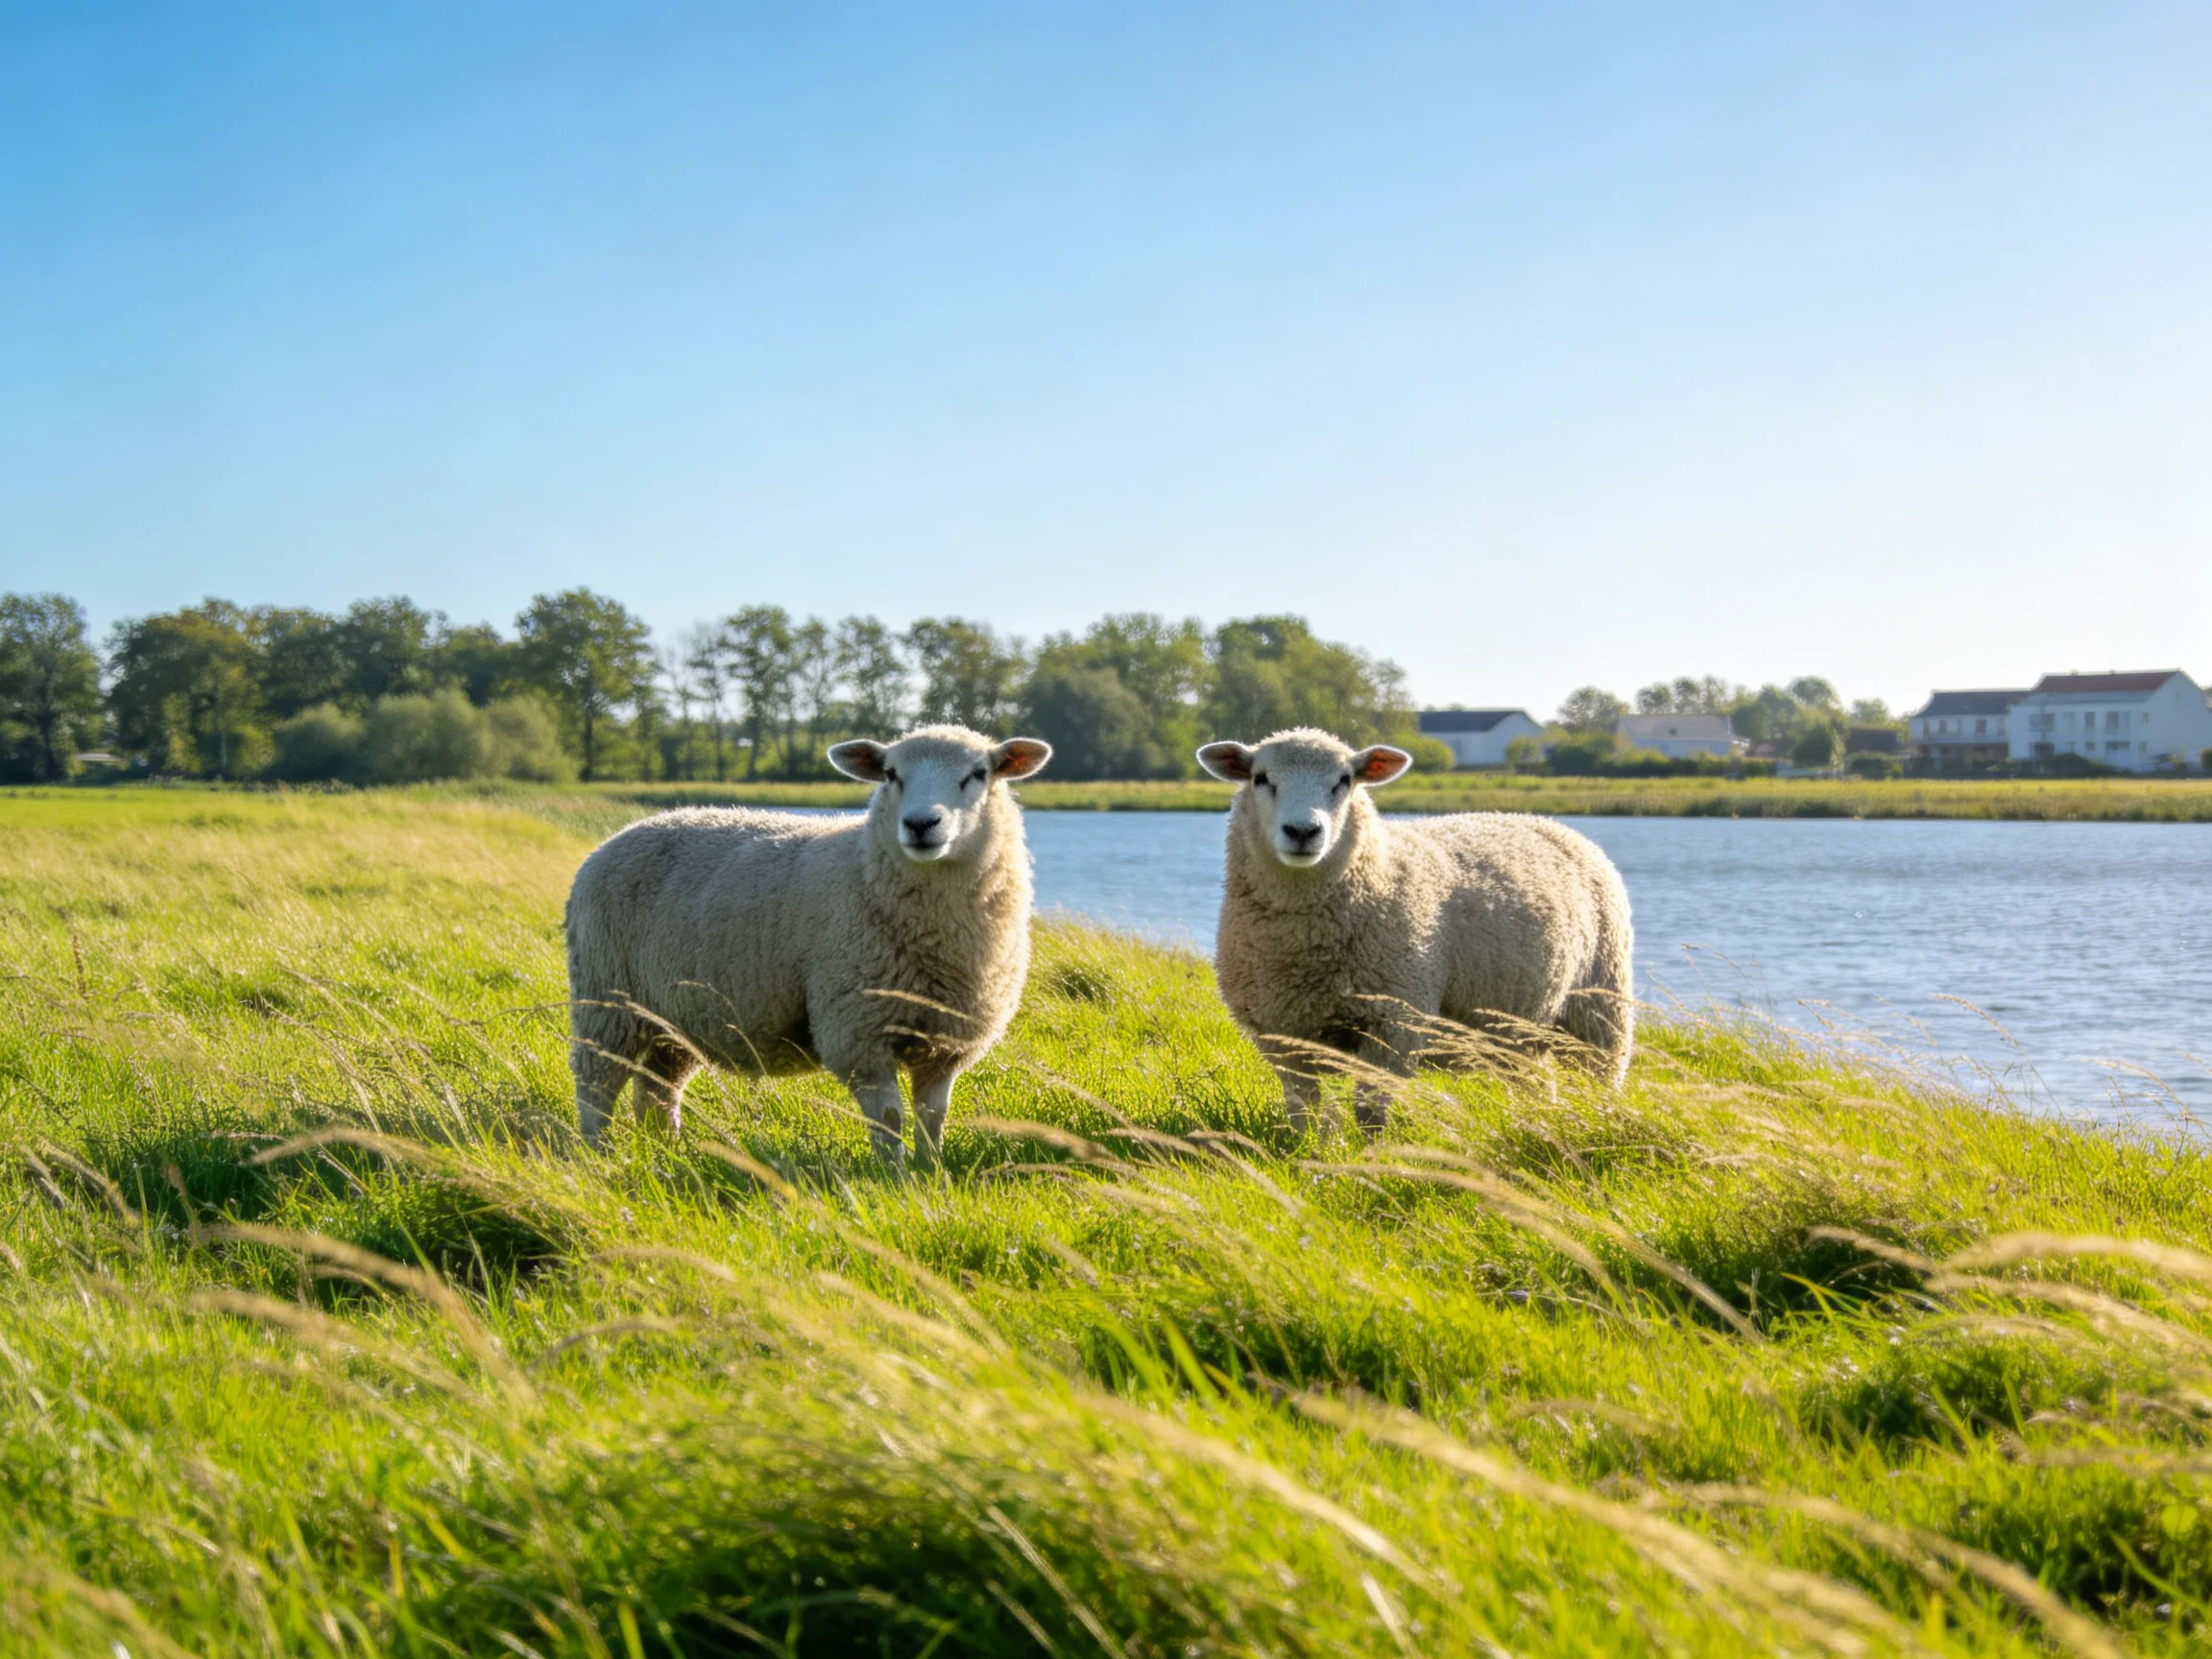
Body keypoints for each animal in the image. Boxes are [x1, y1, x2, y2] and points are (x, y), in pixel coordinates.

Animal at [564, 725, 1052, 1166]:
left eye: (978, 773)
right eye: (891, 774)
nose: (920, 824)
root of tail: (616, 837)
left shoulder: (946, 1040)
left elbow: (933, 1117)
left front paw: (932, 1174)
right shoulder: (858, 1030)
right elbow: (889, 1118)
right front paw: (893, 1177)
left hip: (674, 1016)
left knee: (657, 1089)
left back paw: (667, 1150)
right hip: (606, 998)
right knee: (596, 1085)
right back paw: (598, 1155)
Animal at [1197, 727, 1633, 1130]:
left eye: (1344, 780)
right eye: (1261, 778)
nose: (1303, 832)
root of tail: (1545, 822)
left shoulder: (1394, 1021)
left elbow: (1370, 1113)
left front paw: (1369, 1158)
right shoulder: (1281, 1034)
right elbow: (1302, 1110)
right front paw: (1306, 1152)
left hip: (1598, 1007)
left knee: (1600, 1076)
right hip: (1518, 1029)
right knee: (1535, 1082)